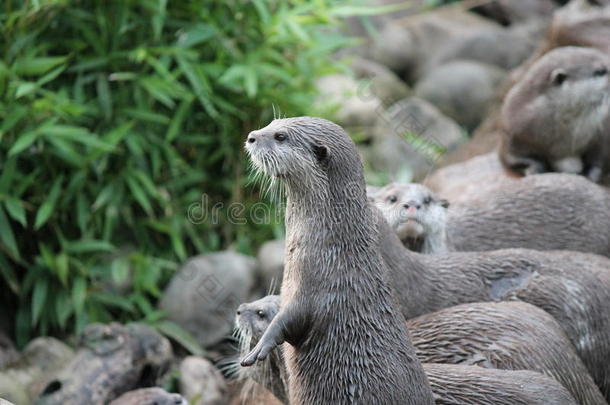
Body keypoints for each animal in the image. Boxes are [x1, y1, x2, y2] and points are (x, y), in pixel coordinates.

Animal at [240, 117, 434, 404]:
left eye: (281, 136)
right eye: (272, 123)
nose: (252, 136)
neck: (332, 251)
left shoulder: (316, 290)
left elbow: (289, 320)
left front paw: (259, 347)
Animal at [498, 45, 608, 181]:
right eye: (600, 71)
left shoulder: (600, 133)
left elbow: (598, 158)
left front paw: (590, 174)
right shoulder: (513, 129)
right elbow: (512, 158)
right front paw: (535, 168)